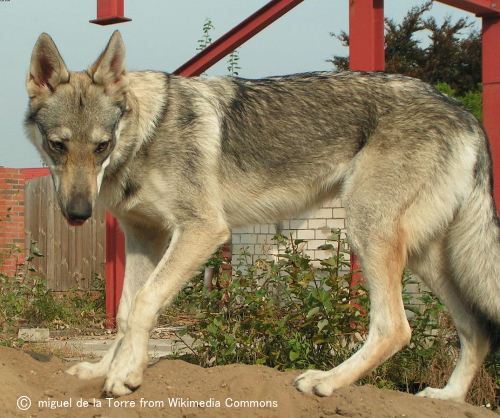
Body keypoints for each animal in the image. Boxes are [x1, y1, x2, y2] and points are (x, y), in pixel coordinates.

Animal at [25, 31, 498, 400]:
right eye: (58, 146)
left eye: (101, 146)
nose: (77, 213)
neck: (146, 133)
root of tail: (467, 115)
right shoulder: (145, 236)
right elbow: (125, 313)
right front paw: (104, 369)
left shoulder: (202, 231)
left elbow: (143, 303)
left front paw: (125, 376)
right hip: (426, 257)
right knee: (476, 328)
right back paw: (449, 396)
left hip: (369, 232)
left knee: (395, 327)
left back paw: (325, 382)